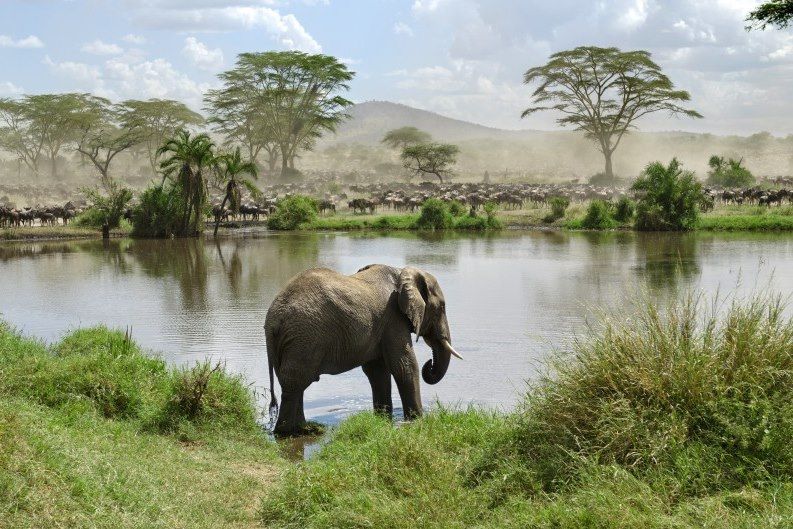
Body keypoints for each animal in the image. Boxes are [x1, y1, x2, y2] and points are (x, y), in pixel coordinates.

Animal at [266, 262, 464, 436]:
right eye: (441, 307)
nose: (429, 364)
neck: (402, 272)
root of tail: (273, 320)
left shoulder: (382, 324)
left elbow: (377, 371)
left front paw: (383, 419)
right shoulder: (393, 317)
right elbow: (405, 366)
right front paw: (416, 420)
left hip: (292, 342)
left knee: (293, 382)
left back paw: (304, 429)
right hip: (304, 337)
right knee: (295, 380)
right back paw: (288, 432)